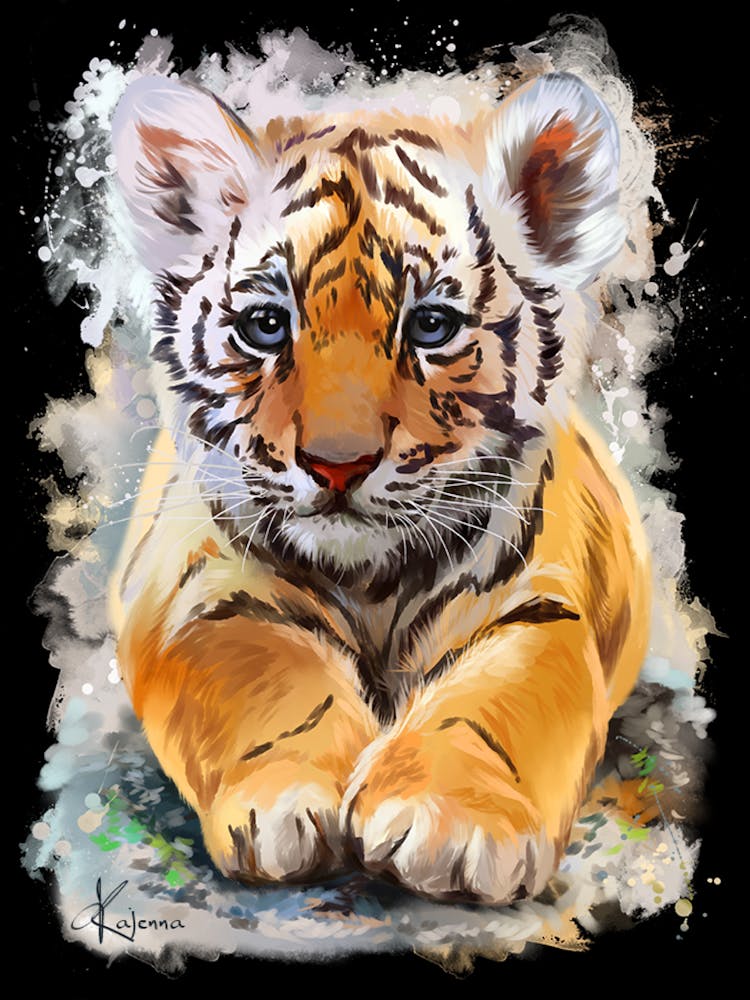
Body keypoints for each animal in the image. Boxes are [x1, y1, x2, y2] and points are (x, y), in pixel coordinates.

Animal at [108, 69, 650, 906]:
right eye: (267, 325)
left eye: (430, 326)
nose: (338, 463)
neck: (371, 581)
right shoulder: (198, 592)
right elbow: (273, 679)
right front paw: (293, 797)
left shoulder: (539, 605)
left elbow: (494, 707)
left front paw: (452, 823)